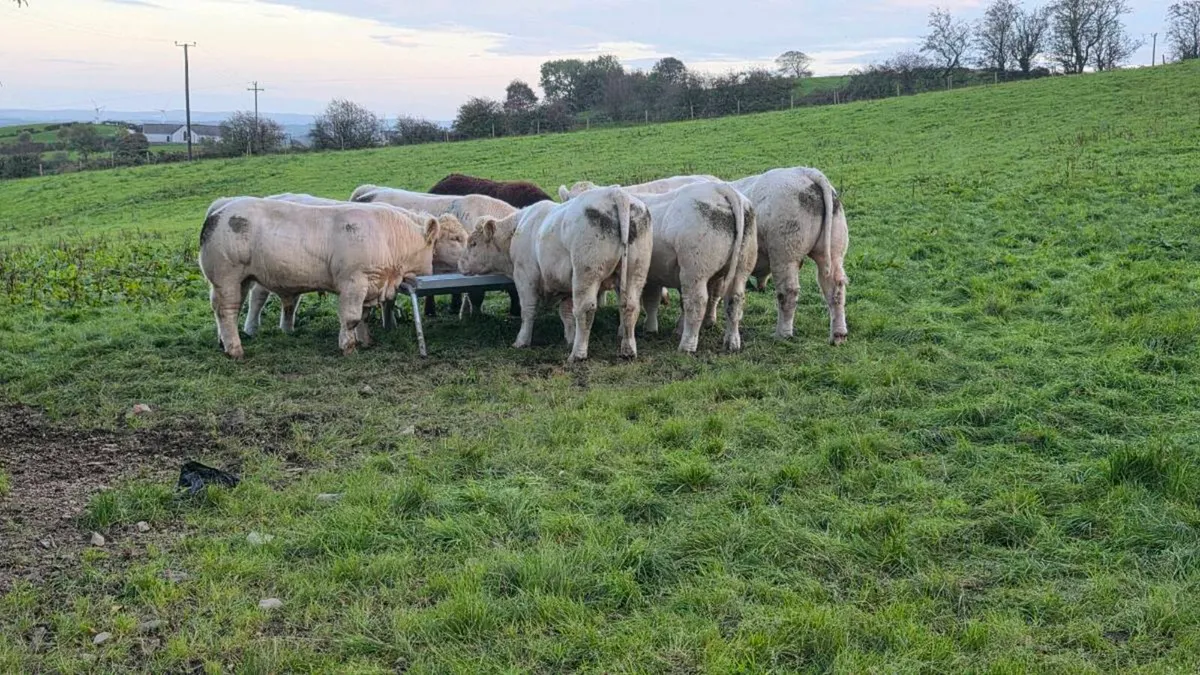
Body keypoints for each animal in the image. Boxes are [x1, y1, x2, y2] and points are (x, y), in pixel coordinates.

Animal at [199, 197, 446, 358]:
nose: (433, 269)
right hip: (226, 276)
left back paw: (223, 342)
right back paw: (235, 350)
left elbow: (364, 316)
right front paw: (348, 347)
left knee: (228, 309)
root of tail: (217, 212)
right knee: (227, 310)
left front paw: (366, 341)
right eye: (434, 246)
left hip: (241, 279)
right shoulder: (353, 282)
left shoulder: (371, 284)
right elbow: (351, 317)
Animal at [458, 187, 653, 362]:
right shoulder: (564, 284)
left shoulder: (525, 276)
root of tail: (616, 193)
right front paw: (569, 338)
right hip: (636, 272)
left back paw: (578, 353)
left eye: (473, 243)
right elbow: (566, 313)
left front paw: (522, 341)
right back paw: (628, 350)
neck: (518, 229)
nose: (460, 263)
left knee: (585, 309)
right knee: (630, 307)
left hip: (586, 273)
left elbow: (528, 310)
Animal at [636, 183, 757, 353]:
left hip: (694, 269)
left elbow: (651, 300)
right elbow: (655, 300)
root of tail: (721, 189)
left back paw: (687, 346)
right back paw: (732, 342)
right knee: (735, 300)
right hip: (742, 266)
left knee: (697, 303)